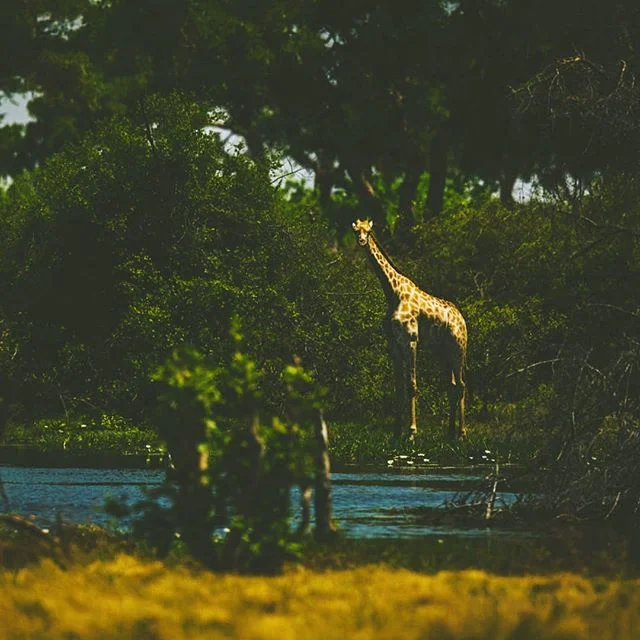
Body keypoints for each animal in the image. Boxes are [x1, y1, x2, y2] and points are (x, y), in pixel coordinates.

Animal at [352, 219, 467, 439]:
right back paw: (450, 432)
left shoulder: (411, 341)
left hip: (458, 348)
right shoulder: (394, 345)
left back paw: (462, 433)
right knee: (452, 386)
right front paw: (396, 432)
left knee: (461, 385)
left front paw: (412, 432)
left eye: (368, 231)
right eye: (356, 231)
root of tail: (462, 319)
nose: (362, 241)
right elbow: (399, 387)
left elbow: (412, 385)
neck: (393, 292)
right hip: (441, 351)